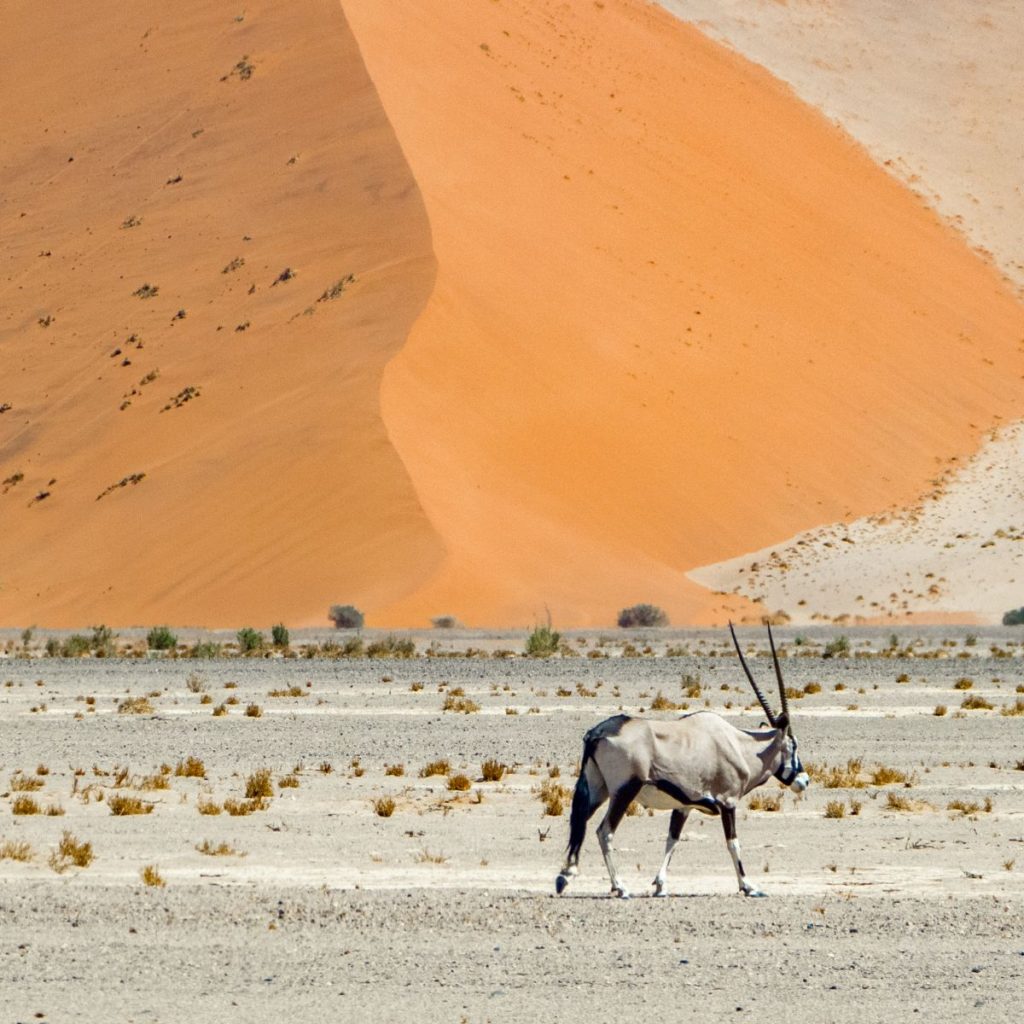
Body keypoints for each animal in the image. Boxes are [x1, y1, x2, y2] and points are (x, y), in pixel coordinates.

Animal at [561, 622, 806, 897]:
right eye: (794, 745)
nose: (804, 780)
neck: (741, 747)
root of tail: (597, 733)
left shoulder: (684, 806)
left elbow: (672, 840)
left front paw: (660, 885)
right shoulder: (728, 803)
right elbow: (733, 844)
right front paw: (748, 886)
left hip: (597, 789)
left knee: (579, 822)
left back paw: (565, 877)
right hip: (623, 792)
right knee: (604, 832)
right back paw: (620, 887)